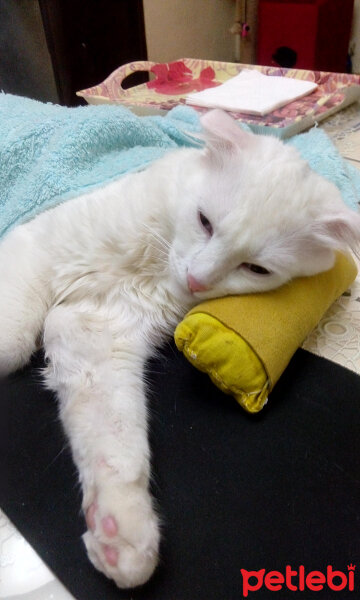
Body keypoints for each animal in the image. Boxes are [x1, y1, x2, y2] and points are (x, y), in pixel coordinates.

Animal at [0, 110, 358, 588]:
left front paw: (121, 537)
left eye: (256, 269)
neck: (153, 267)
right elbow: (12, 339)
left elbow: (117, 446)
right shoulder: (36, 245)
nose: (196, 279)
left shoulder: (94, 332)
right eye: (205, 222)